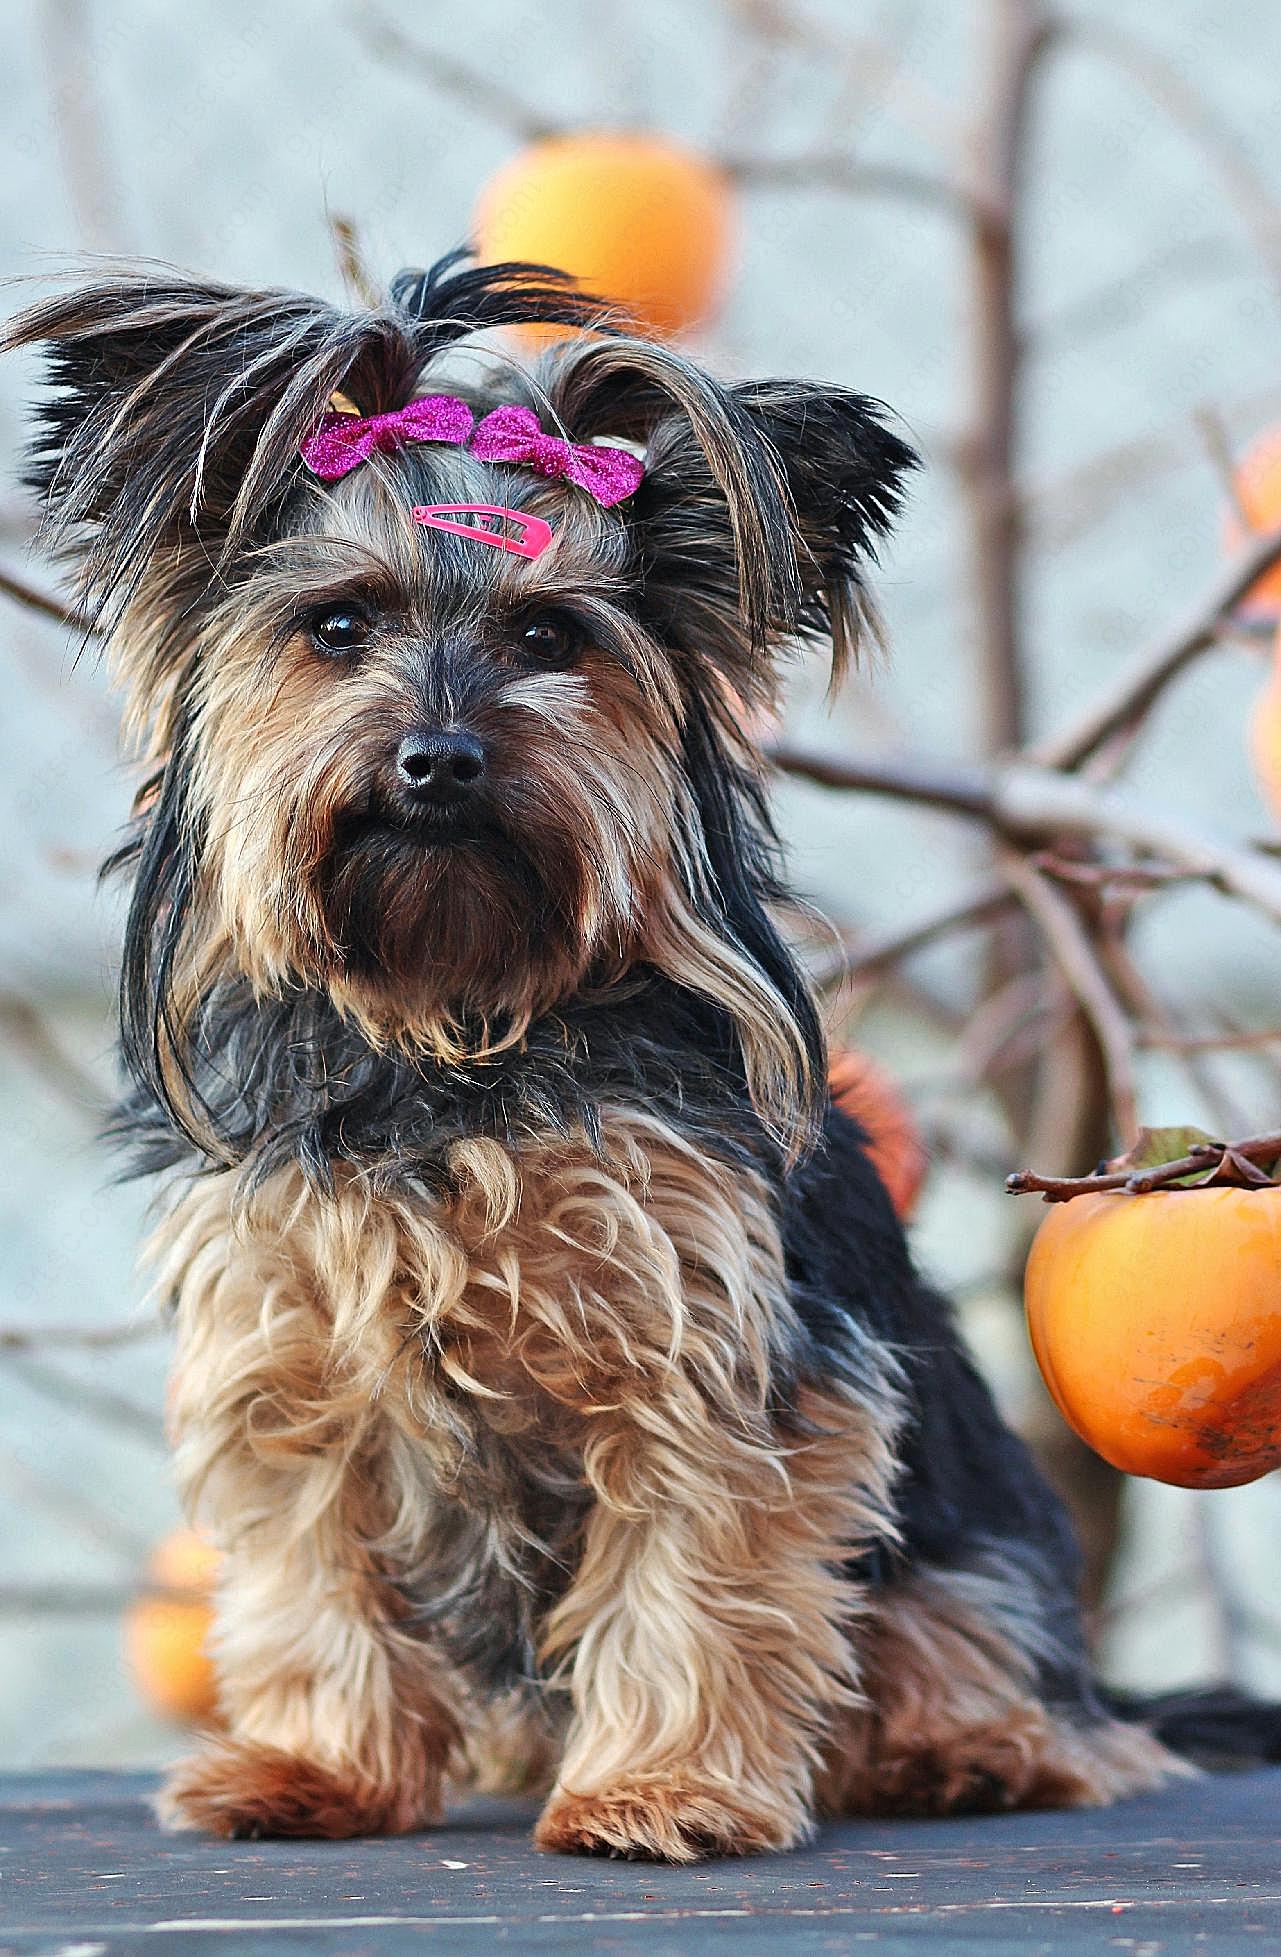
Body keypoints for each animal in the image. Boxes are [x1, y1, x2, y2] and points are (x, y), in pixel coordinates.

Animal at [2, 252, 1181, 1855]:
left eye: (550, 638)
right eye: (337, 628)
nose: (438, 756)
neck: (450, 1021)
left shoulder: (708, 1332)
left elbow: (697, 1556)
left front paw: (661, 1789)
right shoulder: (286, 1345)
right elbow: (311, 1563)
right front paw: (314, 1767)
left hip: (974, 1538)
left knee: (1005, 1665)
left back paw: (966, 1748)